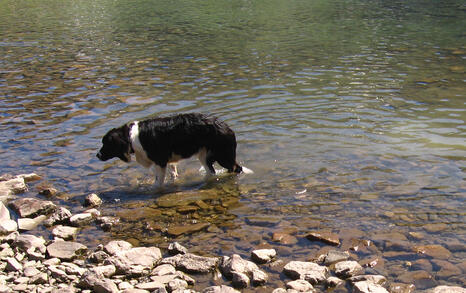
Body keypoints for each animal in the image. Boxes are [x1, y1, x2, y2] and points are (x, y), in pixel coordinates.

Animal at [96, 112, 246, 185]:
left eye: (106, 144)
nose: (97, 155)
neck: (130, 137)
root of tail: (226, 127)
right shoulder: (167, 161)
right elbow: (173, 172)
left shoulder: (160, 161)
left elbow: (158, 183)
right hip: (205, 156)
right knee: (213, 172)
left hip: (222, 156)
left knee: (237, 168)